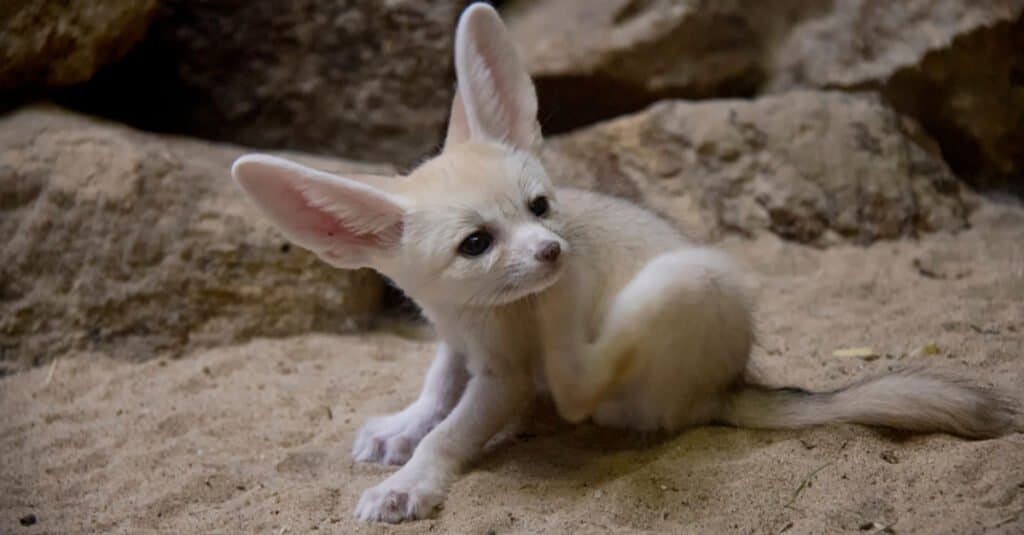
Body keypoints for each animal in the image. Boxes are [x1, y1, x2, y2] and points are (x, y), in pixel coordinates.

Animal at [234, 2, 1015, 522]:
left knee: (579, 390)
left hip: (679, 286)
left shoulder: (503, 373)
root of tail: (730, 386)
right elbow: (435, 390)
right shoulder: (457, 340)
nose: (553, 250)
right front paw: (402, 426)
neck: (472, 314)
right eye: (475, 243)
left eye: (540, 206)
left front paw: (411, 482)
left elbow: (453, 431)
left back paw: (565, 311)